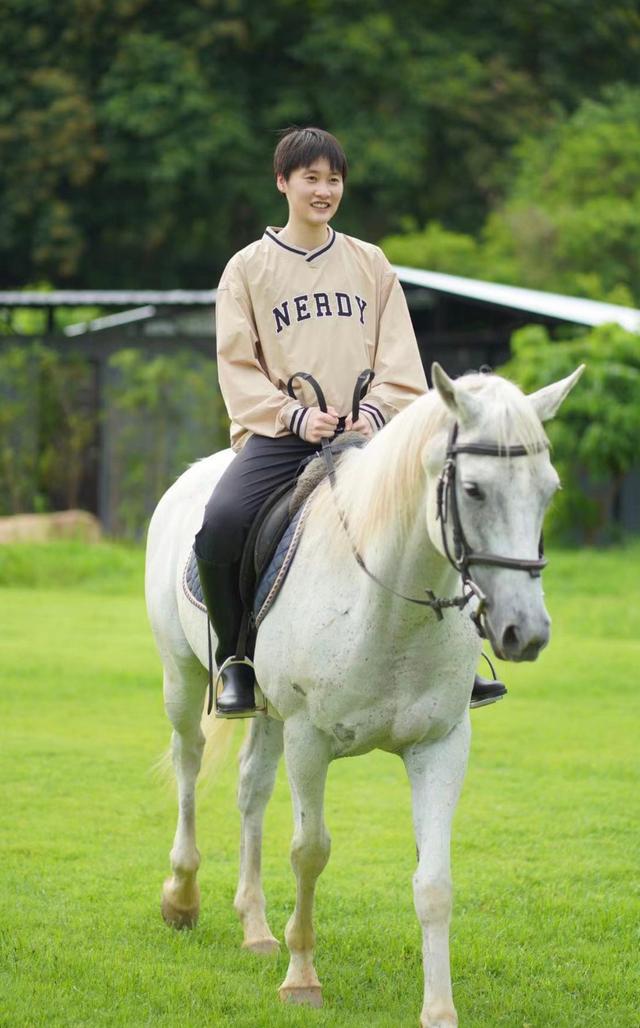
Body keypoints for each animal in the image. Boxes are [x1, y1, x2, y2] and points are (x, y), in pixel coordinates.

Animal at [146, 363, 587, 1028]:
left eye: (549, 490)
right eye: (474, 490)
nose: (526, 631)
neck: (388, 606)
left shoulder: (441, 744)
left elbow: (434, 882)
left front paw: (439, 1010)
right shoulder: (309, 738)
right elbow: (310, 851)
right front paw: (302, 980)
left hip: (267, 711)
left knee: (251, 790)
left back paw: (255, 927)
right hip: (183, 678)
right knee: (189, 766)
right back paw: (182, 897)